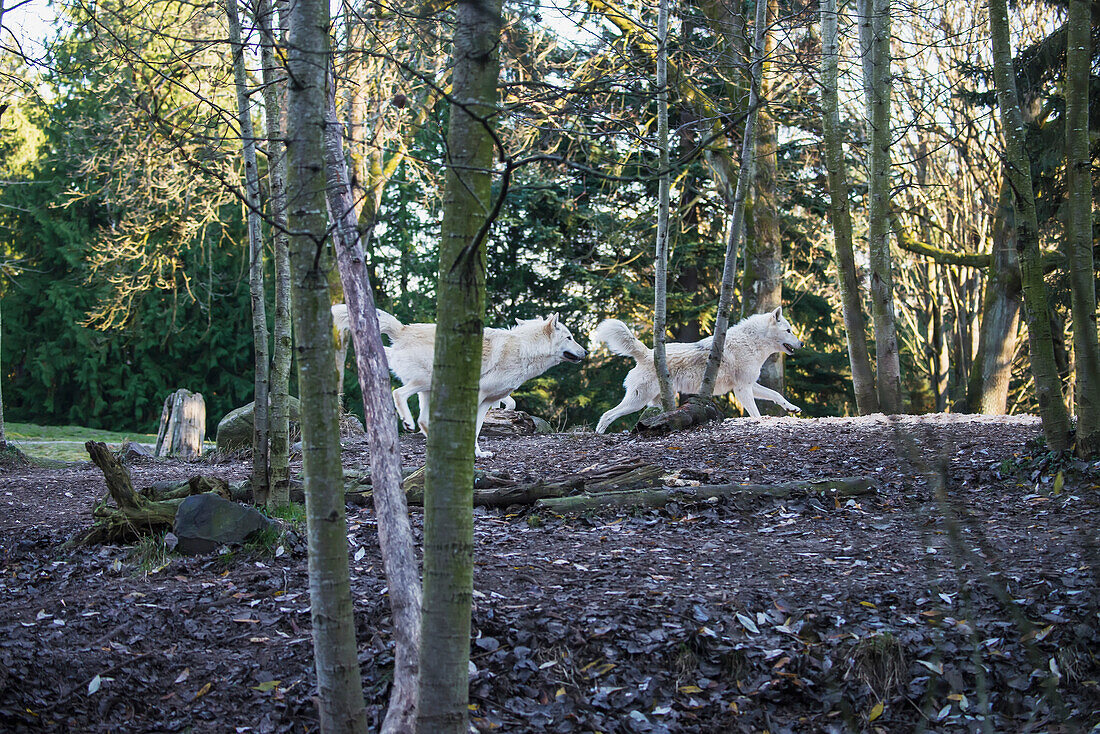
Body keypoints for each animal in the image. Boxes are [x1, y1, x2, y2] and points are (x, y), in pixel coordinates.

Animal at [332, 303, 585, 453]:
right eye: (570, 337)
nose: (585, 352)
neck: (523, 348)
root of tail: (403, 329)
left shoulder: (488, 401)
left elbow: (481, 426)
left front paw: (478, 454)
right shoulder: (478, 396)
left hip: (428, 390)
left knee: (423, 420)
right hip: (425, 382)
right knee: (398, 394)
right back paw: (408, 422)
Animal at [594, 308, 800, 433]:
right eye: (789, 330)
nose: (802, 343)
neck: (751, 343)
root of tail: (647, 353)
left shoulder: (749, 385)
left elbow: (775, 394)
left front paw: (792, 408)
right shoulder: (742, 389)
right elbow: (755, 413)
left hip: (657, 402)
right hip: (638, 401)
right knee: (607, 415)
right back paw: (599, 434)